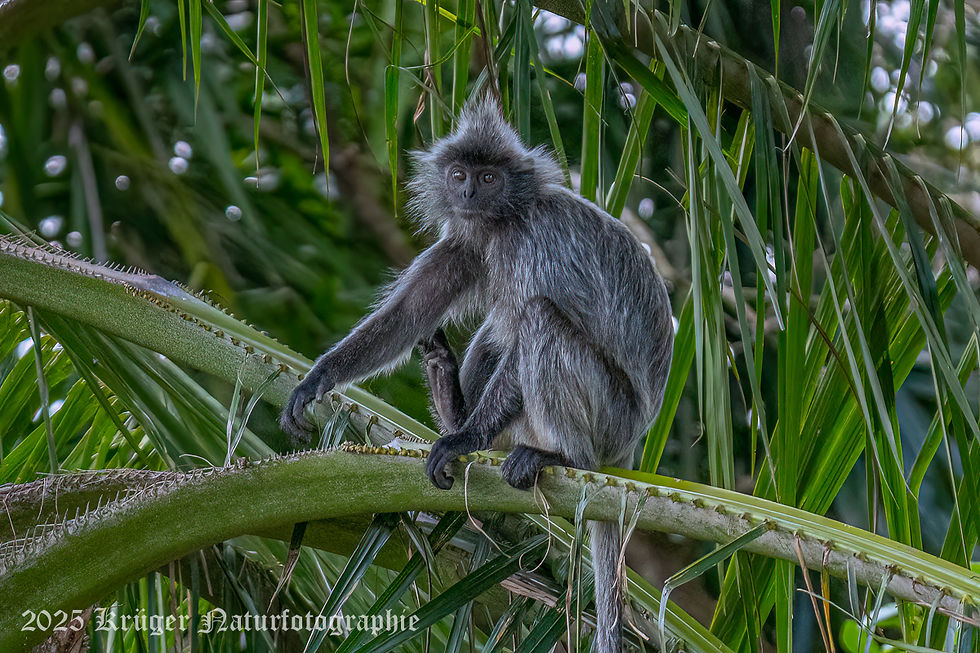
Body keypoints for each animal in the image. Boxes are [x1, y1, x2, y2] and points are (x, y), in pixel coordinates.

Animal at [281, 96, 674, 653]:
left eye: (490, 178)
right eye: (460, 174)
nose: (467, 192)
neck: (504, 221)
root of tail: (629, 445)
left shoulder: (539, 243)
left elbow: (527, 322)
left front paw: (465, 440)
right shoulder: (466, 236)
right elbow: (407, 316)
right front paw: (317, 380)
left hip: (612, 415)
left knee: (535, 318)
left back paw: (555, 454)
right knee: (495, 329)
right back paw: (448, 392)